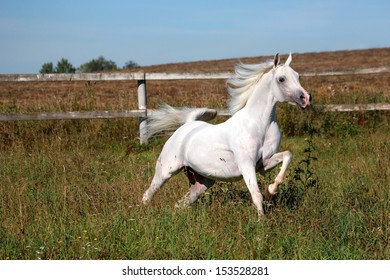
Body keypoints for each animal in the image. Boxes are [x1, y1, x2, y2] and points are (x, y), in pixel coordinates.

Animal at [142, 53, 310, 220]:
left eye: (298, 76)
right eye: (281, 79)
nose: (306, 98)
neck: (260, 124)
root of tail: (187, 126)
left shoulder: (264, 163)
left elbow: (287, 155)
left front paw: (272, 189)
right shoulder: (246, 164)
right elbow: (256, 195)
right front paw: (261, 222)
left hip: (201, 183)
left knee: (180, 204)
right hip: (166, 171)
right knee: (148, 193)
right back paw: (144, 213)